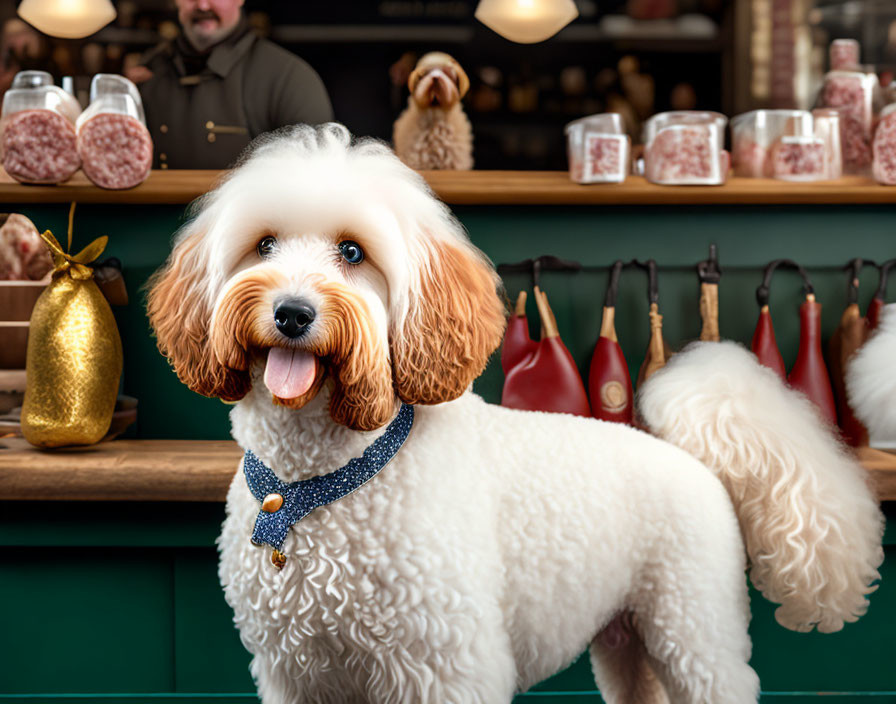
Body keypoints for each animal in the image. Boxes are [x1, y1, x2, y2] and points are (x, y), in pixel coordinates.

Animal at [147, 125, 880, 704]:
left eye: (352, 253)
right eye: (264, 246)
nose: (292, 313)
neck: (316, 485)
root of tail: (691, 457)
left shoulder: (443, 666)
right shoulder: (296, 672)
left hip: (694, 630)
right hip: (629, 641)